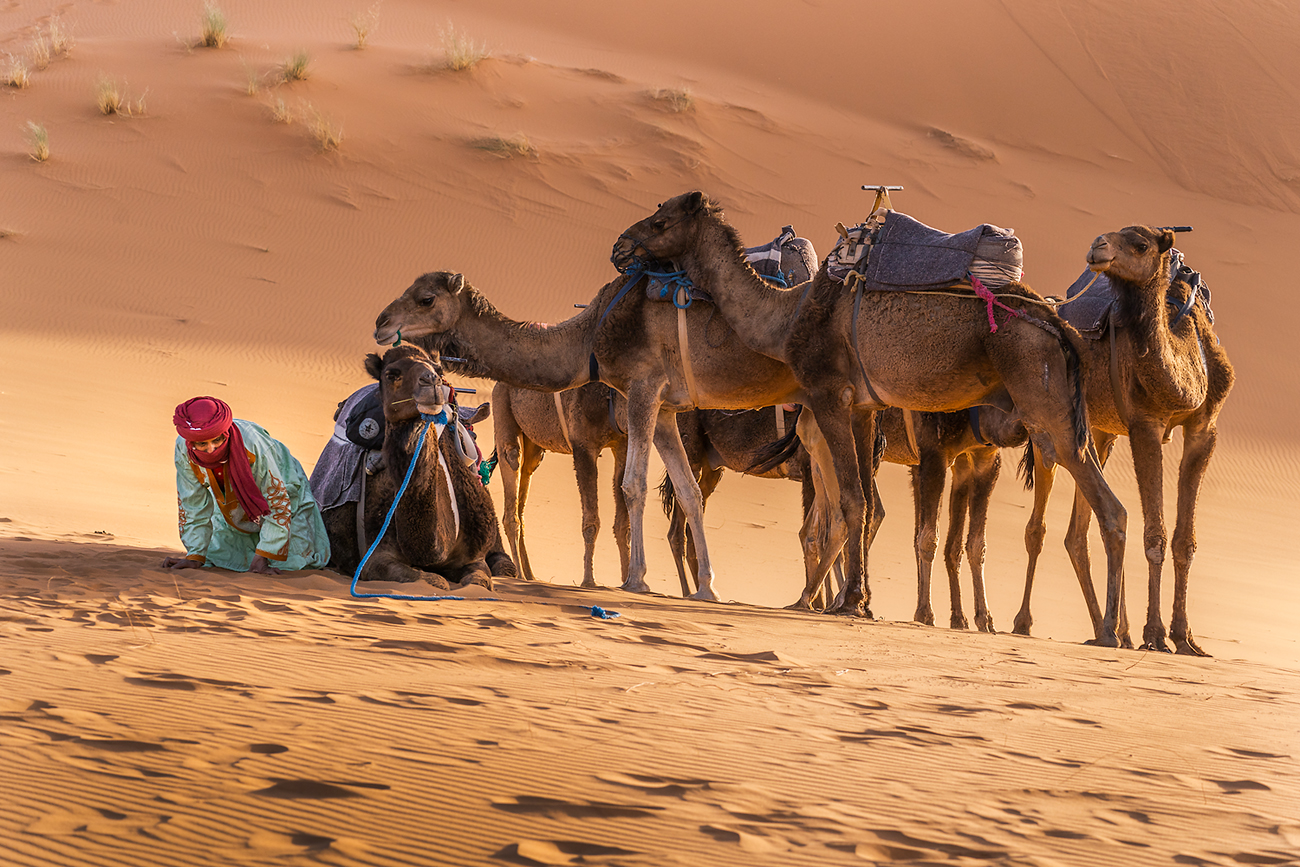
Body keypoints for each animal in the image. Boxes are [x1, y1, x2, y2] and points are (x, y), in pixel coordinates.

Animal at [325, 345, 501, 590]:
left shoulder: (476, 557)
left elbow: (477, 582)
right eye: (391, 374)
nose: (431, 382)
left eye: (439, 370)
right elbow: (435, 581)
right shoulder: (374, 557)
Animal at [491, 382, 629, 590]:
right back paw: (519, 575)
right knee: (512, 456)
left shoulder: (622, 444)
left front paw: (628, 580)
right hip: (502, 406)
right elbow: (591, 521)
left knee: (526, 475)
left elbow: (623, 521)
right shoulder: (583, 447)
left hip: (534, 443)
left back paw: (531, 575)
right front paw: (589, 581)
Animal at [613, 193, 1133, 647]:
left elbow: (851, 501)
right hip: (1058, 416)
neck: (787, 317)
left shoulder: (828, 396)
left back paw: (1110, 632)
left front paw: (849, 601)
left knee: (1109, 507)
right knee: (1110, 505)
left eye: (660, 221)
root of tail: (1058, 325)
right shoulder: (864, 409)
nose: (620, 246)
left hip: (1042, 400)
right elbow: (863, 504)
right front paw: (858, 600)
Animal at [1008, 227, 1232, 655]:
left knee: (1079, 533)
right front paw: (1156, 634)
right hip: (1053, 420)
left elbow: (1184, 540)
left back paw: (1110, 630)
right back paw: (1026, 622)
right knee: (1037, 528)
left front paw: (1186, 638)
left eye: (1141, 244)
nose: (1098, 246)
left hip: (1100, 430)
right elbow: (1155, 535)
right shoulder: (1146, 424)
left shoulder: (1204, 429)